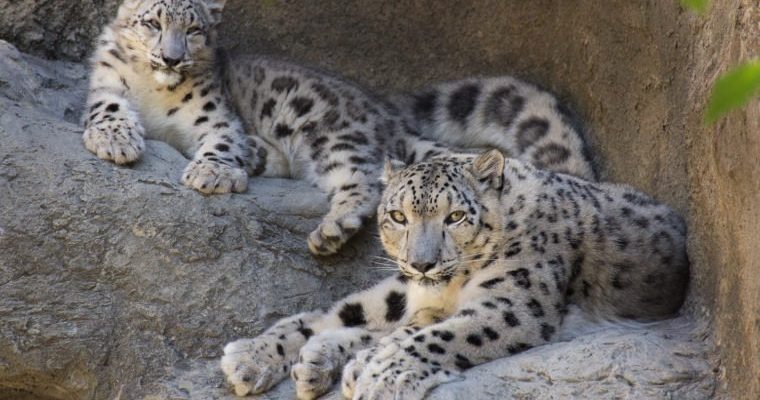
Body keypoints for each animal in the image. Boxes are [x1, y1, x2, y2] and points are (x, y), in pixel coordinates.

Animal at [82, 0, 597, 255]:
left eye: (193, 30)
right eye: (152, 23)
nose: (171, 58)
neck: (155, 91)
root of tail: (386, 117)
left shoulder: (218, 116)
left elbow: (223, 139)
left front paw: (211, 173)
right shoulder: (106, 85)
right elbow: (105, 110)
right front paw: (116, 142)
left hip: (328, 135)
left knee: (366, 181)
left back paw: (332, 229)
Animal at [221, 149, 689, 400]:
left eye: (456, 216)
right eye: (398, 216)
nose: (422, 263)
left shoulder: (513, 305)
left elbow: (440, 337)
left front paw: (380, 376)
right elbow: (401, 329)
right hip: (397, 288)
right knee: (341, 312)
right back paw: (252, 356)